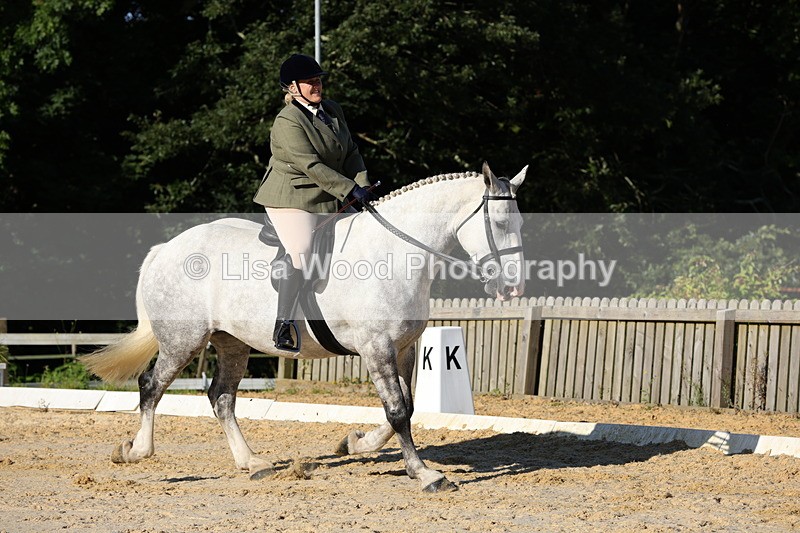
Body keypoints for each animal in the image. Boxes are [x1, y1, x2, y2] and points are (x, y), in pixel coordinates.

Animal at [81, 163, 527, 492]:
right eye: (501, 223)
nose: (513, 287)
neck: (395, 253)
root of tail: (166, 249)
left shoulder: (403, 348)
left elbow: (407, 407)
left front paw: (355, 443)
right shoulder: (376, 347)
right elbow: (399, 411)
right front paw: (426, 474)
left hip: (232, 343)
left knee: (221, 398)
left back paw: (252, 463)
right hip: (182, 340)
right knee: (151, 386)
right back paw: (135, 451)